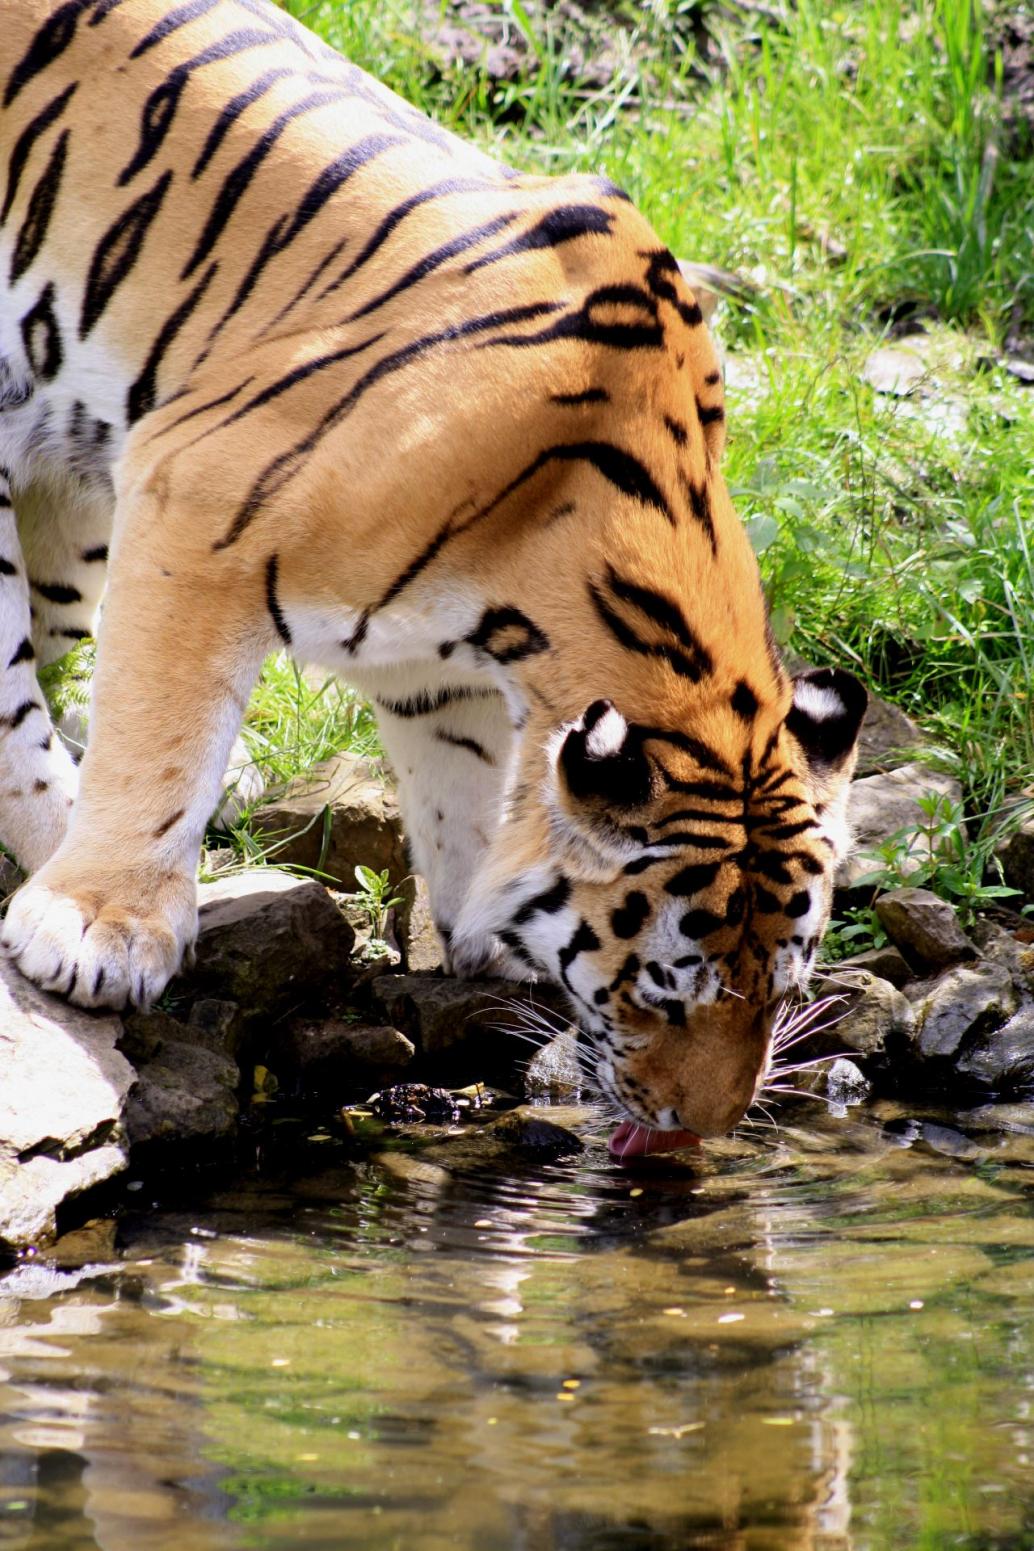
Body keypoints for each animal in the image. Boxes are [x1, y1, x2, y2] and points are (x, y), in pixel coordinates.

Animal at [0, 0, 866, 1152]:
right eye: (666, 988)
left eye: (782, 988)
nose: (697, 1133)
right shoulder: (196, 500)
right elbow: (161, 740)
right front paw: (101, 926)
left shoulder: (434, 660)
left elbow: (461, 787)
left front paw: (481, 930)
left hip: (69, 535)